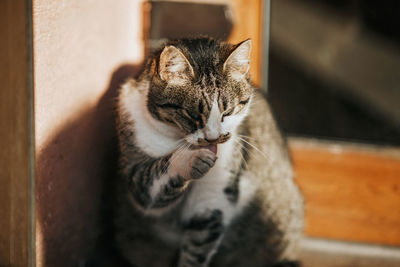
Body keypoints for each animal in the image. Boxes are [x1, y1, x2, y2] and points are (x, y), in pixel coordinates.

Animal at [114, 37, 302, 267]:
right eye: (193, 114)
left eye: (228, 111)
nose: (213, 138)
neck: (177, 139)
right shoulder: (138, 175)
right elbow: (155, 178)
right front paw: (190, 161)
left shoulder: (213, 199)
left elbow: (196, 252)